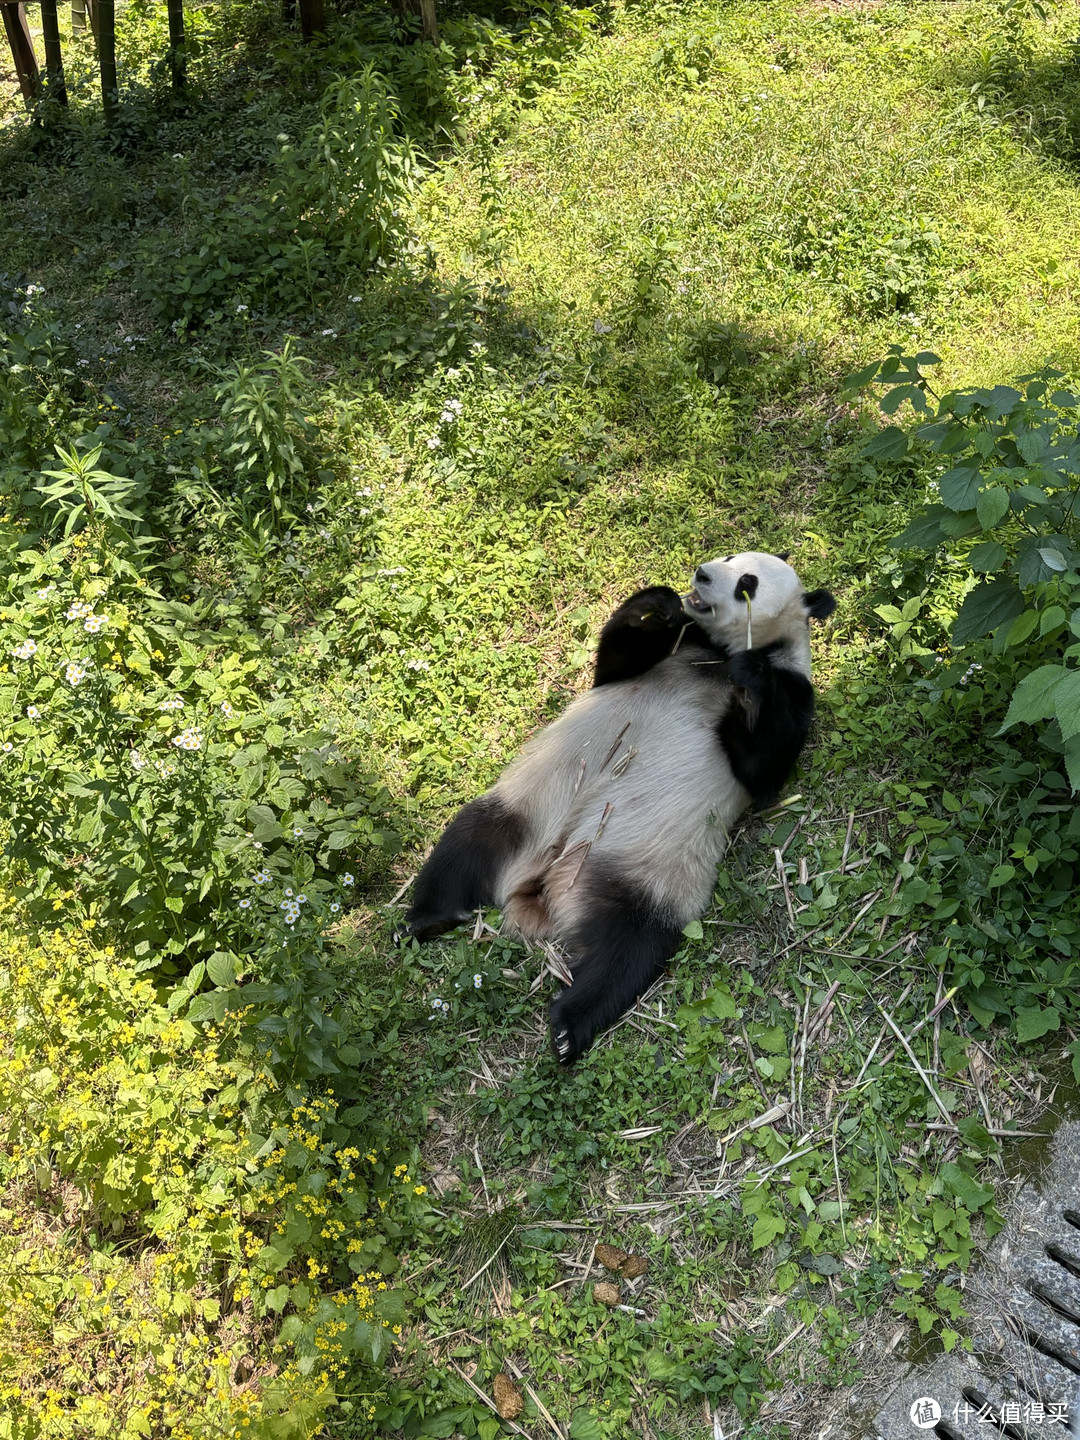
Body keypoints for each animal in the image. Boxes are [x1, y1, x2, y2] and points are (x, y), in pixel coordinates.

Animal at [403, 550, 835, 1071]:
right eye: (730, 558)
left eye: (747, 583)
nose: (703, 575)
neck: (719, 654)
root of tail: (543, 884)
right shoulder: (680, 645)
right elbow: (615, 664)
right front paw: (655, 603)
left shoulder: (794, 689)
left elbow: (763, 765)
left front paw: (750, 681)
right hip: (531, 808)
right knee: (469, 843)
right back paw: (424, 918)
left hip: (640, 869)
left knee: (627, 947)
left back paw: (569, 1026)